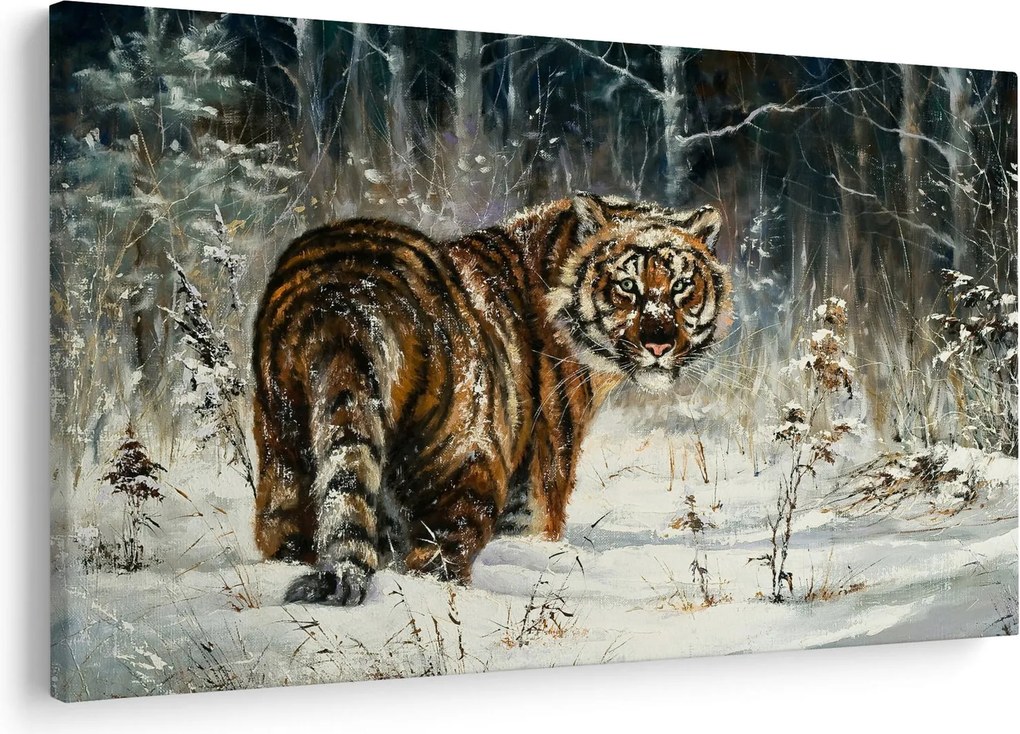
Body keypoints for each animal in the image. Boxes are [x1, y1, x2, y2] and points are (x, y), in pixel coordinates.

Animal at [252, 192, 730, 605]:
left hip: (284, 454)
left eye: (682, 285)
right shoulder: (538, 483)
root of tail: (344, 295)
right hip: (463, 463)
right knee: (436, 560)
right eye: (627, 285)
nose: (659, 342)